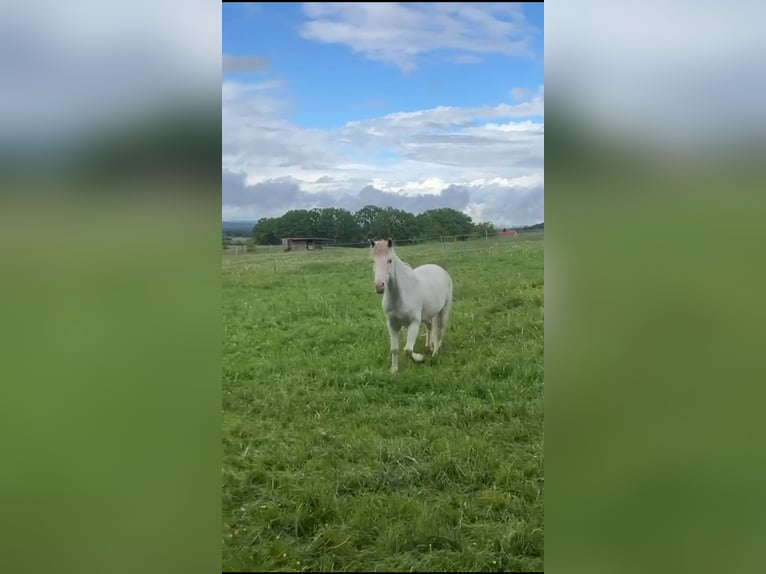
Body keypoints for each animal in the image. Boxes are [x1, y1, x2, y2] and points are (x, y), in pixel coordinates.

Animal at [368, 237, 452, 376]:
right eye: (373, 261)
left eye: (389, 260)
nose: (379, 286)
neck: (401, 294)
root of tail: (441, 270)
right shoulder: (392, 324)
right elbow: (395, 349)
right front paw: (394, 369)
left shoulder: (414, 323)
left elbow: (407, 350)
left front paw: (419, 359)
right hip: (428, 315)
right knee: (430, 327)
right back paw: (429, 346)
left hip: (444, 311)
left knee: (440, 331)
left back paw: (435, 352)